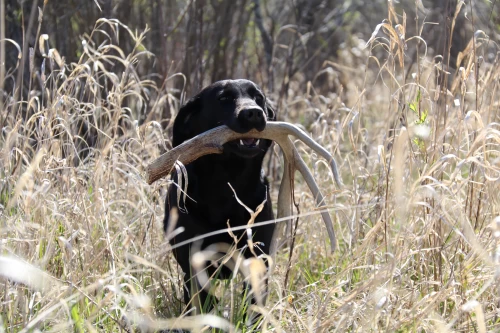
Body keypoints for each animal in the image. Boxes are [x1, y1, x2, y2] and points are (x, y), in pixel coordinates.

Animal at [164, 79, 276, 312]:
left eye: (258, 97)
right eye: (223, 98)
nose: (254, 112)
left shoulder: (258, 257)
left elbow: (253, 304)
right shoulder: (194, 262)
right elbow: (201, 300)